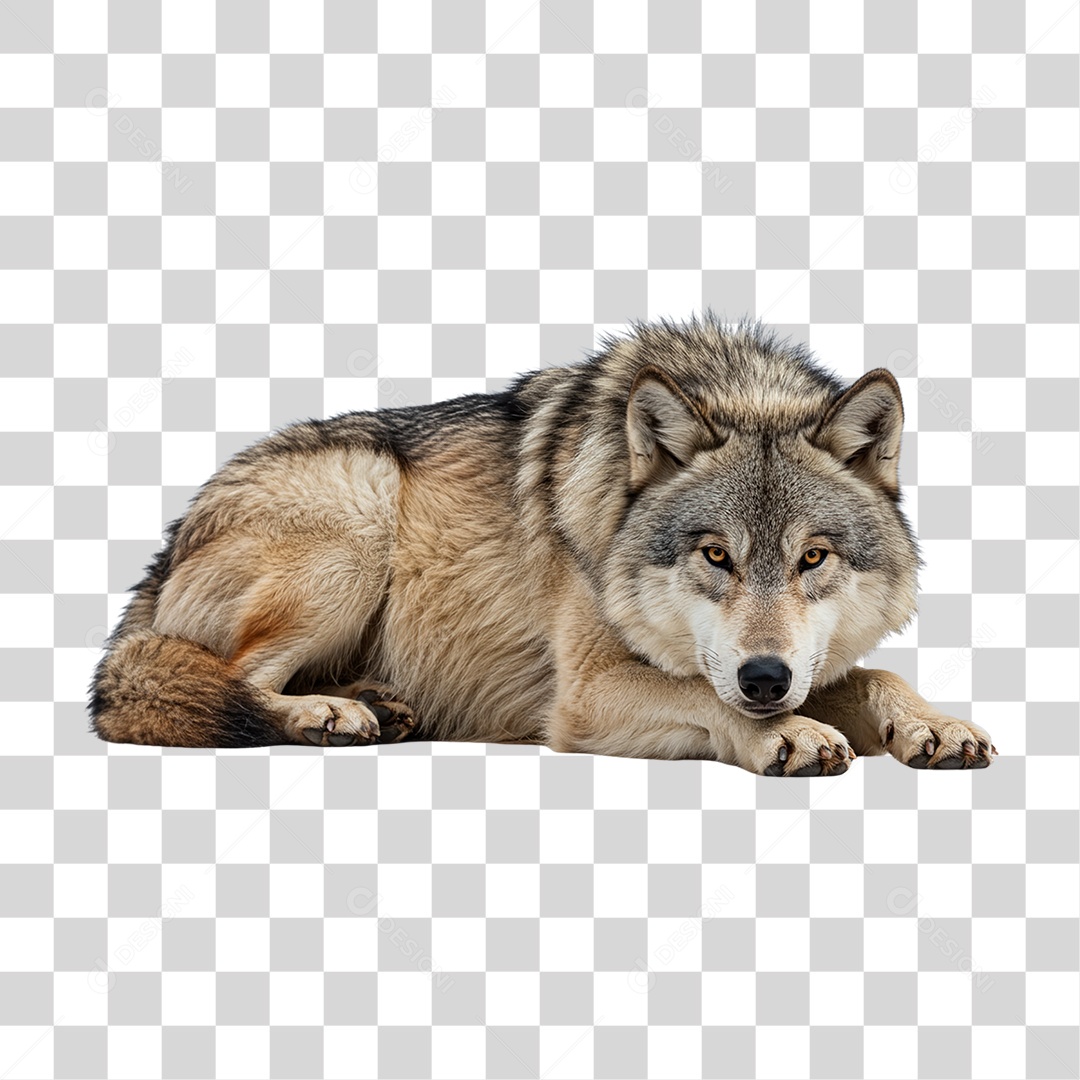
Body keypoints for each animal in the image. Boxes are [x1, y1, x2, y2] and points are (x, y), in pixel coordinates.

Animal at [90, 317, 995, 775]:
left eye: (814, 558)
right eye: (716, 556)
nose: (765, 679)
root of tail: (164, 549)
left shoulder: (800, 665)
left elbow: (878, 675)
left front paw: (934, 725)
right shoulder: (588, 693)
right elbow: (704, 697)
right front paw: (791, 736)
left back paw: (380, 705)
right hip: (358, 513)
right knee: (234, 680)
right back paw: (328, 715)